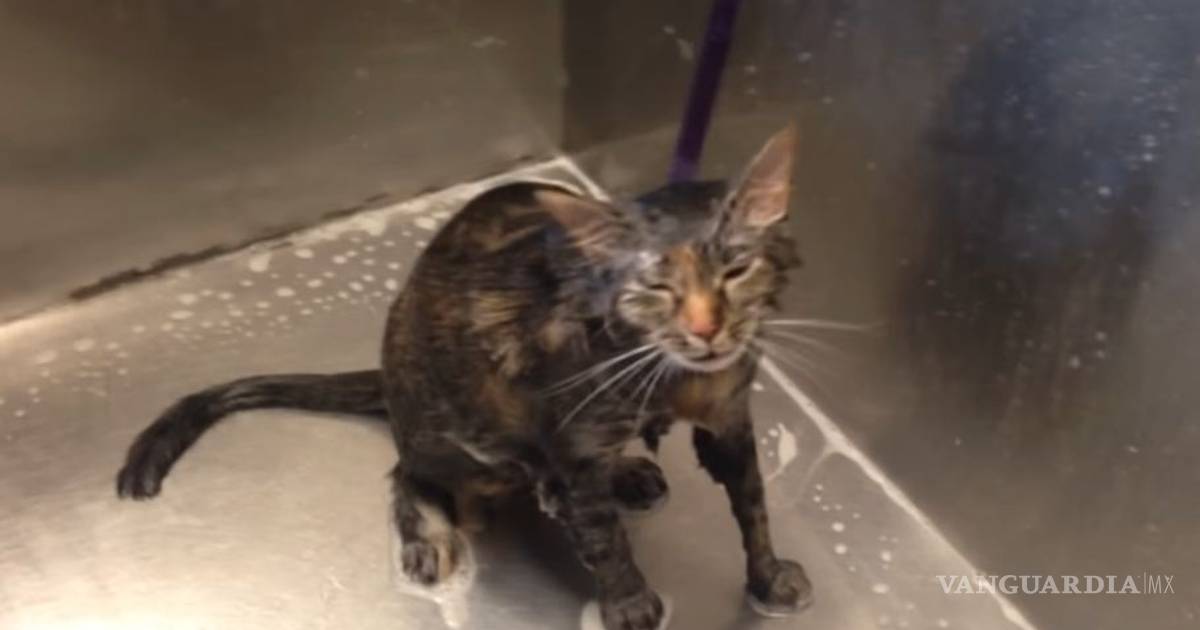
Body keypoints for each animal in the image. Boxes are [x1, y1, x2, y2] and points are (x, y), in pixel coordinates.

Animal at [116, 125, 812, 630]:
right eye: (655, 286)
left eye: (736, 270)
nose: (707, 329)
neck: (672, 379)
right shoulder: (572, 442)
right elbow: (605, 539)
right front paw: (631, 604)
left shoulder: (731, 418)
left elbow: (753, 505)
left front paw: (769, 578)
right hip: (473, 440)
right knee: (410, 470)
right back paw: (432, 530)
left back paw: (630, 473)